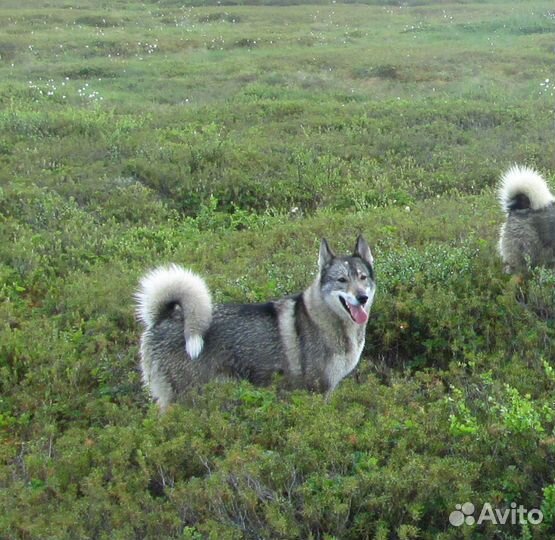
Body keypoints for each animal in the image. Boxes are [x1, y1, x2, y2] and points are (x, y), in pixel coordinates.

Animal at [137, 236, 376, 410]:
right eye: (342, 280)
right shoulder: (315, 390)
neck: (326, 320)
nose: (362, 297)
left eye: (362, 277)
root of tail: (162, 318)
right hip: (184, 399)